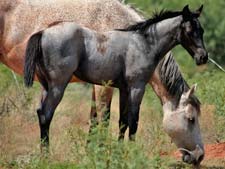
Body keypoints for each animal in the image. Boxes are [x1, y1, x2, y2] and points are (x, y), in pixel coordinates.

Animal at [24, 4, 207, 166]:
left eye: (202, 31)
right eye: (191, 119)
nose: (203, 57)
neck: (143, 44)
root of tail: (43, 32)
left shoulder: (124, 90)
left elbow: (123, 121)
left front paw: (119, 154)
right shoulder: (137, 88)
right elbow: (133, 121)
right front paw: (132, 154)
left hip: (46, 87)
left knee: (40, 112)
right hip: (58, 86)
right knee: (46, 114)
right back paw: (46, 157)